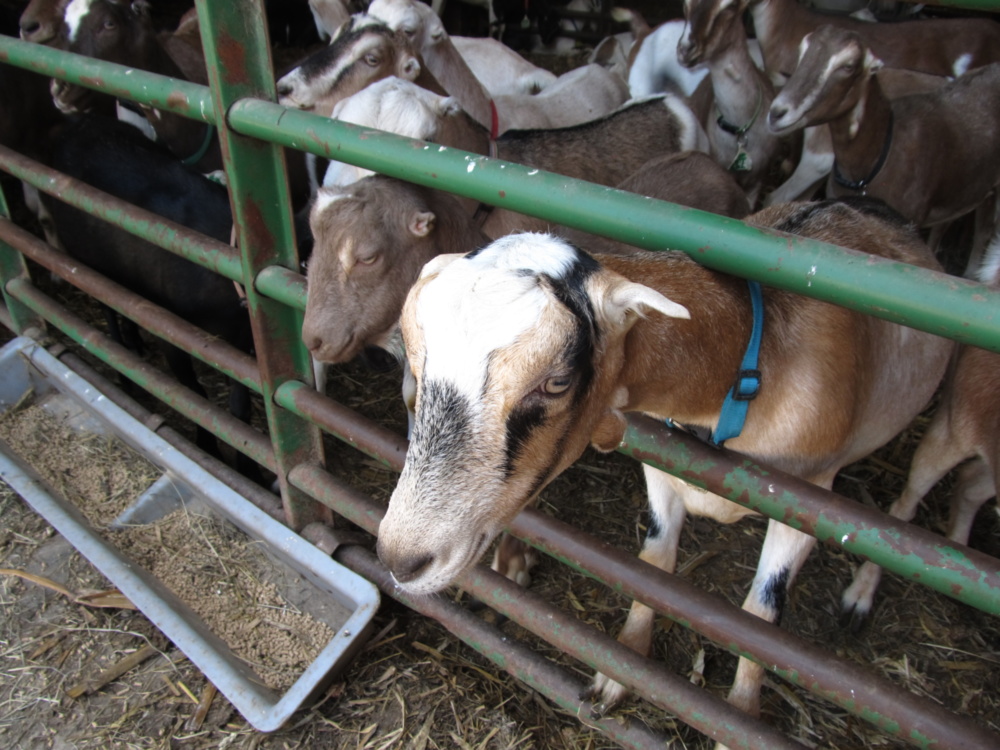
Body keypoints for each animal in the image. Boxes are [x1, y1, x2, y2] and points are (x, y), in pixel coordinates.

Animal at [377, 197, 952, 727]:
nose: (401, 559)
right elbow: (653, 567)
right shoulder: (662, 472)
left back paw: (860, 596)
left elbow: (760, 616)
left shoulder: (809, 502)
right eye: (417, 364)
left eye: (556, 382)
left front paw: (740, 717)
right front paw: (618, 674)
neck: (745, 369)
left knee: (909, 509)